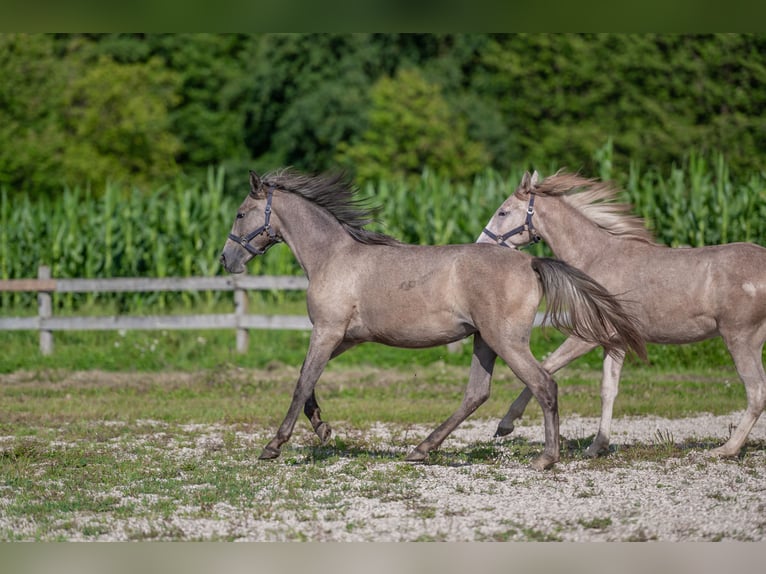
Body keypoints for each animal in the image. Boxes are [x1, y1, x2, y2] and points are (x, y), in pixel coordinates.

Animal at [222, 169, 648, 470]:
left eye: (241, 213)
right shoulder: (344, 336)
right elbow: (306, 379)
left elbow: (300, 383)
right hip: (484, 340)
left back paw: (545, 457)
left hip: (505, 340)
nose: (227, 259)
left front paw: (274, 446)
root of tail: (530, 261)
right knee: (477, 394)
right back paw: (421, 449)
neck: (332, 256)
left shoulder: (327, 331)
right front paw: (324, 430)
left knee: (544, 384)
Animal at [480, 171, 766, 460]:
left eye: (503, 212)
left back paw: (726, 449)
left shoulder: (588, 337)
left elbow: (547, 367)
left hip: (741, 339)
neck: (596, 258)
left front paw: (505, 424)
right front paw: (597, 446)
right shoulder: (615, 342)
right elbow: (608, 390)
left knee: (756, 392)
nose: (481, 244)